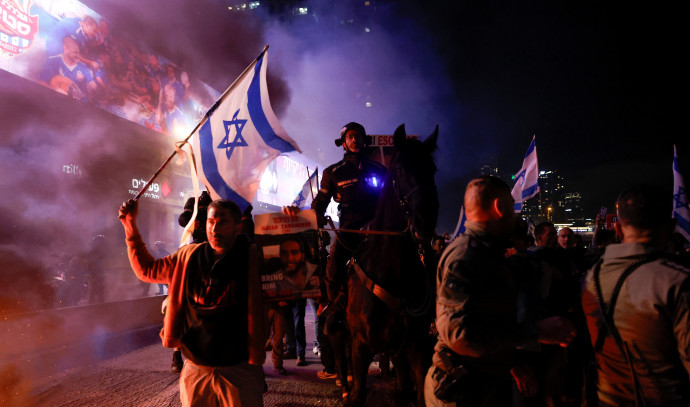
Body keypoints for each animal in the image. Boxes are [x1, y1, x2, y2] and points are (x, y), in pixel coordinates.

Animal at [336, 126, 438, 406]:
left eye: (432, 169)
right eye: (400, 170)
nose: (424, 223)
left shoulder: (416, 349)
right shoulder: (361, 347)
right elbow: (359, 392)